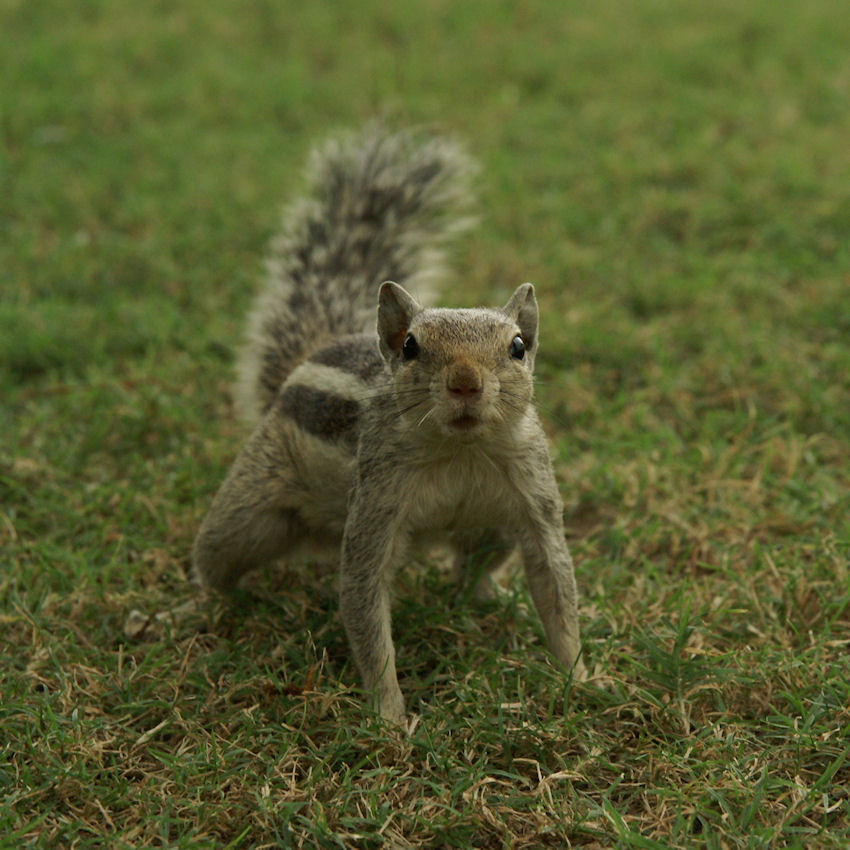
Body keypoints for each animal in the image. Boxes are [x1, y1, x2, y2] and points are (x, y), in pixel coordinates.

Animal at [190, 126, 584, 724]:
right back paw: (196, 606)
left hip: (494, 529)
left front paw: (584, 680)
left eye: (518, 347)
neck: (459, 449)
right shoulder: (376, 505)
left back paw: (498, 602)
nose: (465, 383)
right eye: (411, 346)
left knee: (470, 573)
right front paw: (391, 717)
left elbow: (556, 590)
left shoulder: (534, 497)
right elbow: (366, 604)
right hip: (249, 510)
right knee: (216, 558)